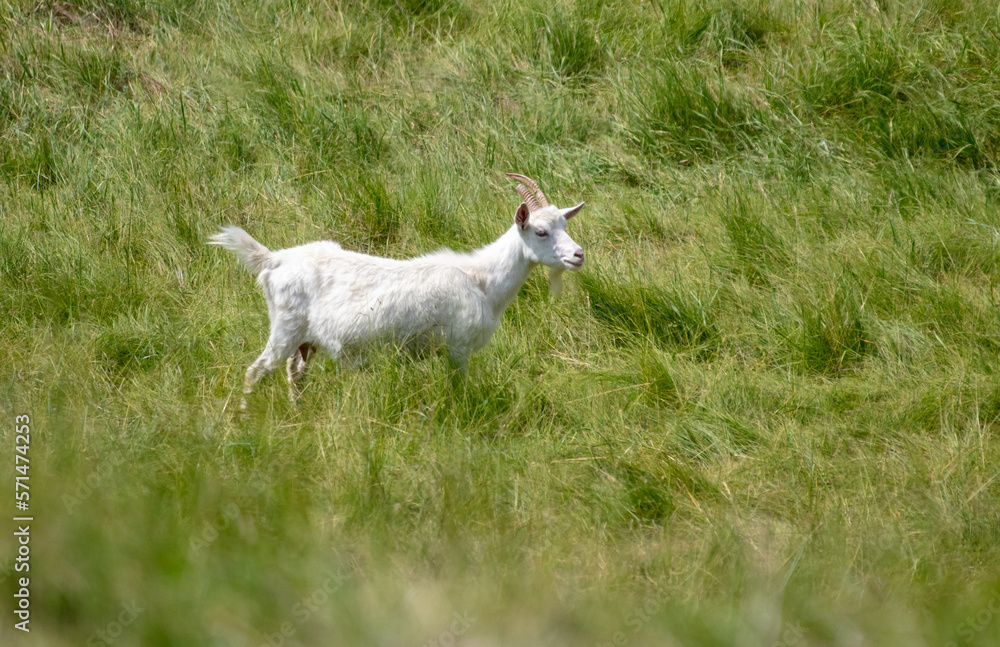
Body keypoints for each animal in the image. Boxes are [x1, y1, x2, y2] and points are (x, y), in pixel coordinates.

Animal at [211, 173, 585, 409]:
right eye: (540, 231)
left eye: (564, 225)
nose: (579, 255)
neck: (482, 279)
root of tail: (275, 259)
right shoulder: (457, 347)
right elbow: (458, 388)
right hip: (284, 329)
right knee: (255, 371)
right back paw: (243, 418)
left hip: (305, 339)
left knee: (294, 375)